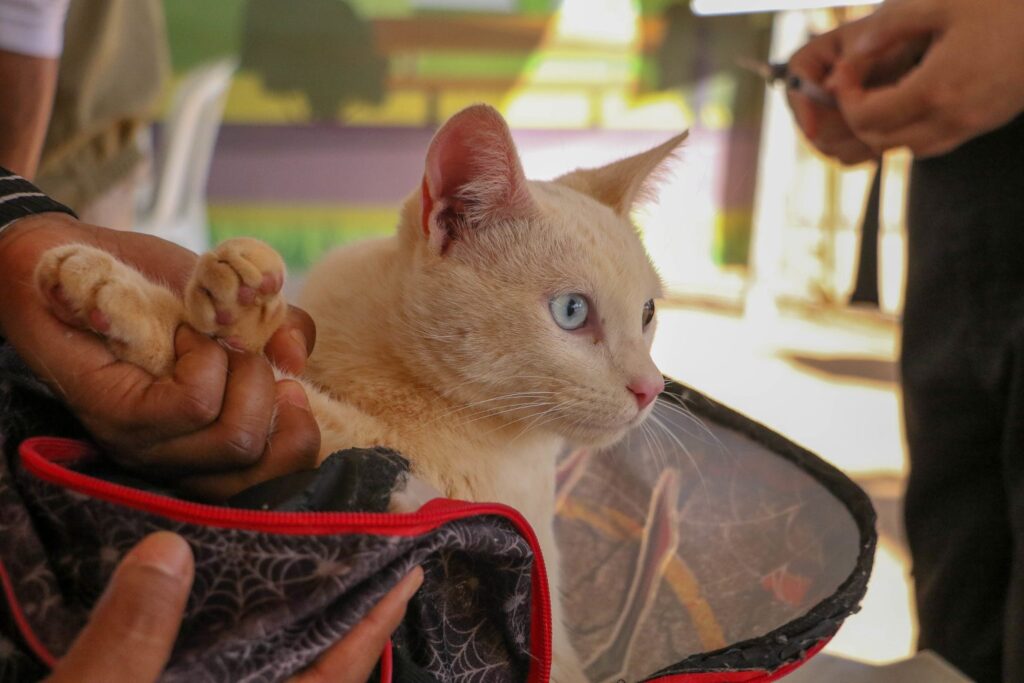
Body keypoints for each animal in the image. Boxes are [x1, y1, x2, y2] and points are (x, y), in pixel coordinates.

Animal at [34, 104, 688, 679]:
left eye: (647, 312)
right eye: (573, 312)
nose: (650, 388)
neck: (390, 356)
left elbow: (294, 395)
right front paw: (241, 300)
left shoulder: (428, 481)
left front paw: (123, 294)